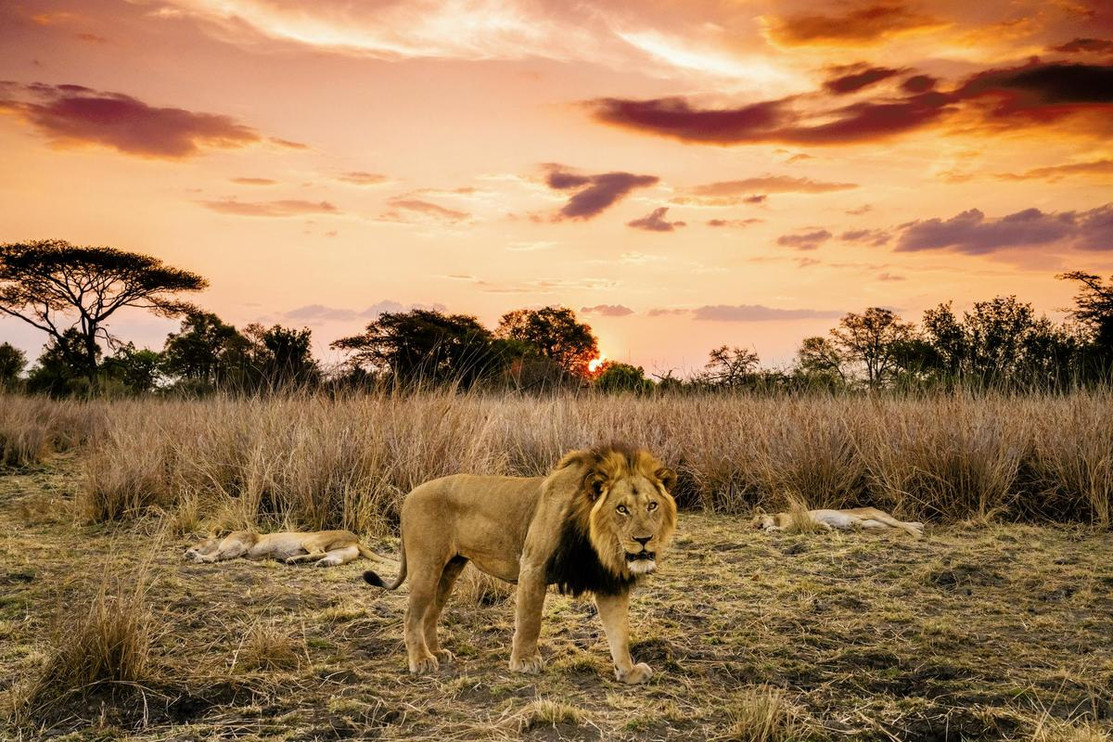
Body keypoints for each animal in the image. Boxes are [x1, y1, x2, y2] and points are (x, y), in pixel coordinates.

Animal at [365, 440, 676, 685]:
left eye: (652, 505)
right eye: (621, 509)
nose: (644, 540)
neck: (597, 543)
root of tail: (410, 495)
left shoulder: (608, 581)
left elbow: (619, 632)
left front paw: (628, 671)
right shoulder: (533, 566)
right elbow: (529, 620)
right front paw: (524, 662)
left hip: (449, 570)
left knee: (430, 613)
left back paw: (437, 653)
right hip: (427, 567)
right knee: (411, 615)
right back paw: (421, 660)